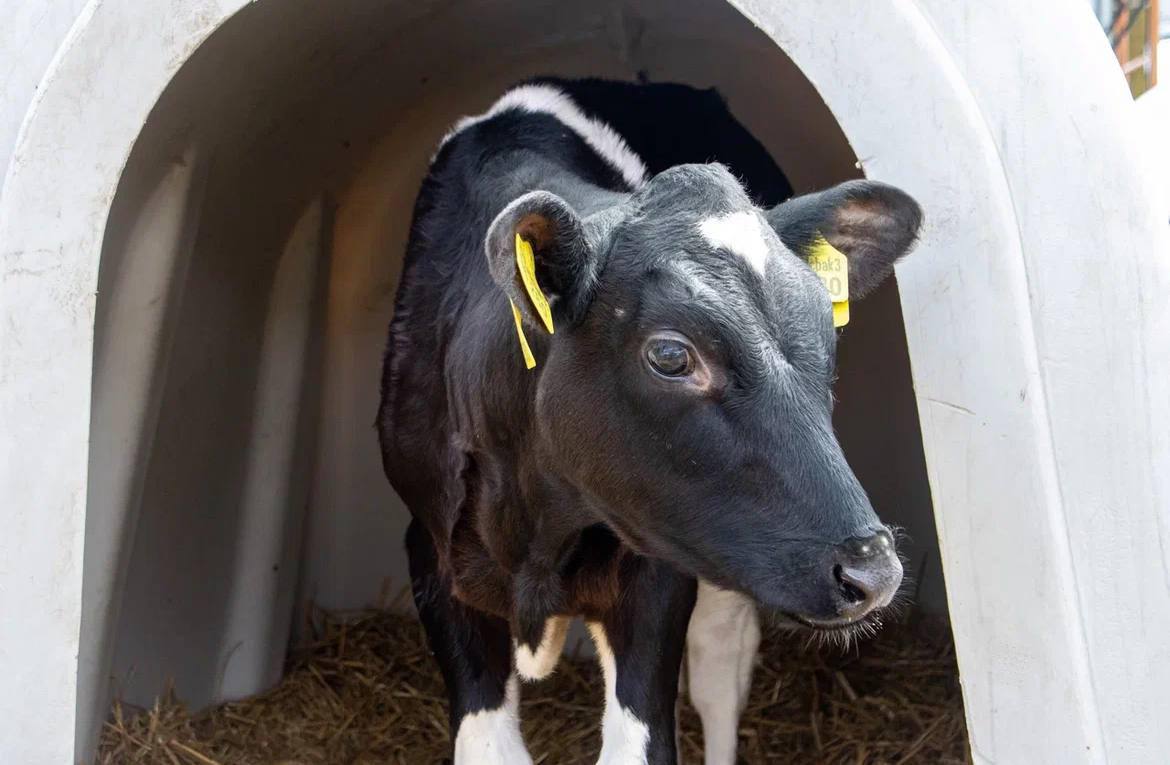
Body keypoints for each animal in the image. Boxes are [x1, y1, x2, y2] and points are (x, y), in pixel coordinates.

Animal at [377, 78, 921, 764]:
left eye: (829, 332)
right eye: (670, 355)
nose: (872, 571)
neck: (537, 531)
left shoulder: (656, 579)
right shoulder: (431, 551)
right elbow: (487, 747)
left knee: (720, 668)